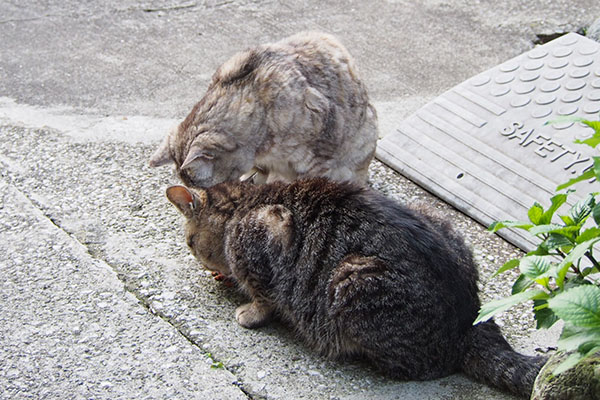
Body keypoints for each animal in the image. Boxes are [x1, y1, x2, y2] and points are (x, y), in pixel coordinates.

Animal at [166, 179, 548, 400]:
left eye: (189, 243)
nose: (199, 259)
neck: (241, 204)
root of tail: (473, 318)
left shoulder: (268, 228)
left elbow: (264, 295)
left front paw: (249, 310)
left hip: (350, 279)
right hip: (434, 217)